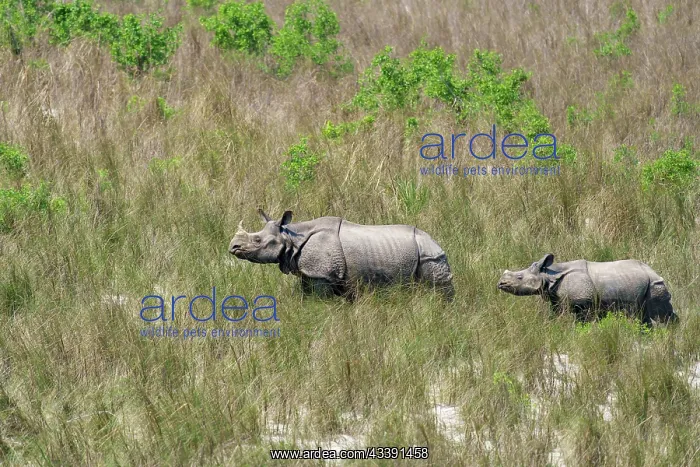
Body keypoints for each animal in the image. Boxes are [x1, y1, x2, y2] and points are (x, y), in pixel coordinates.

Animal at [228, 209, 454, 299]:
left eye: (257, 240)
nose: (233, 247)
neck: (290, 237)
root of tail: (434, 241)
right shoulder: (312, 273)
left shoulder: (322, 273)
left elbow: (318, 299)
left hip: (429, 255)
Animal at [497, 253, 677, 324]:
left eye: (519, 277)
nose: (500, 283)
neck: (548, 274)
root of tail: (653, 271)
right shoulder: (556, 299)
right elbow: (556, 315)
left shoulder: (582, 301)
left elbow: (582, 321)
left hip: (655, 284)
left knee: (657, 313)